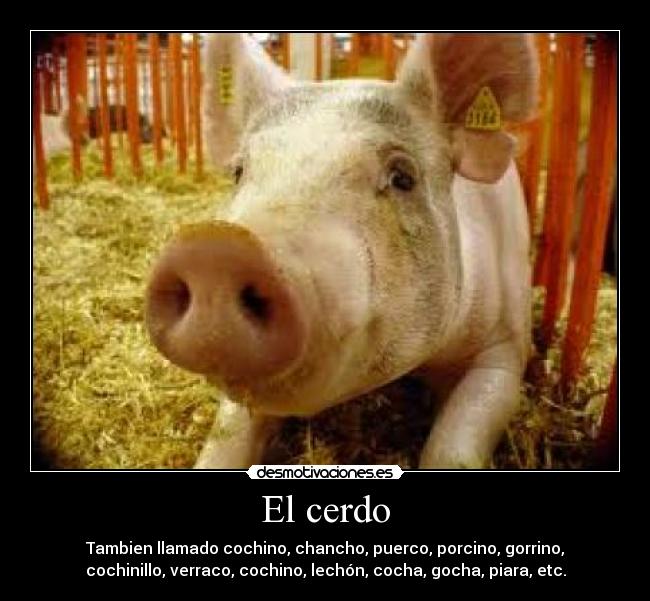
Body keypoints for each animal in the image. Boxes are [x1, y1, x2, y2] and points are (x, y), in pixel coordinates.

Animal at [145, 33, 539, 469]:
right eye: (239, 172)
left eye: (403, 177)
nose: (215, 249)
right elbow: (228, 433)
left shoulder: (505, 344)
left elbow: (454, 445)